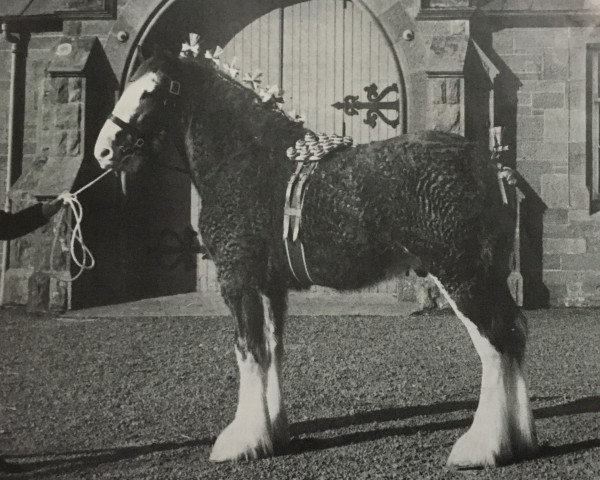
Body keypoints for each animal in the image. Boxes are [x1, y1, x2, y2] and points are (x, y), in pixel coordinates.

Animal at [95, 49, 540, 468]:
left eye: (151, 91)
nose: (103, 150)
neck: (246, 160)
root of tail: (490, 165)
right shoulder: (270, 286)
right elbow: (272, 349)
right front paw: (272, 434)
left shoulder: (238, 279)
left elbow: (247, 350)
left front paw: (241, 442)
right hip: (484, 277)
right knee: (514, 335)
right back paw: (519, 440)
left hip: (461, 276)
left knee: (495, 344)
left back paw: (481, 448)